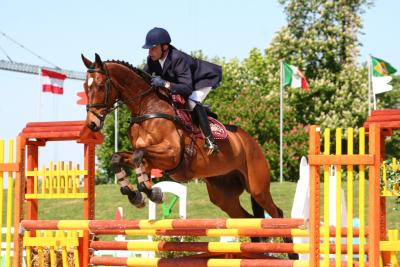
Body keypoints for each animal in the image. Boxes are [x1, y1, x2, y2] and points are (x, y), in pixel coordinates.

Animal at [81, 52, 296, 258]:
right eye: (85, 86)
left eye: (100, 85)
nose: (92, 124)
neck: (147, 108)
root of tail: (250, 141)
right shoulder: (149, 161)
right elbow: (119, 158)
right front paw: (135, 194)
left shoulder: (170, 154)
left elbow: (138, 157)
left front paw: (152, 193)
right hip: (223, 194)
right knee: (248, 220)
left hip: (257, 187)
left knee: (277, 214)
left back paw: (291, 254)